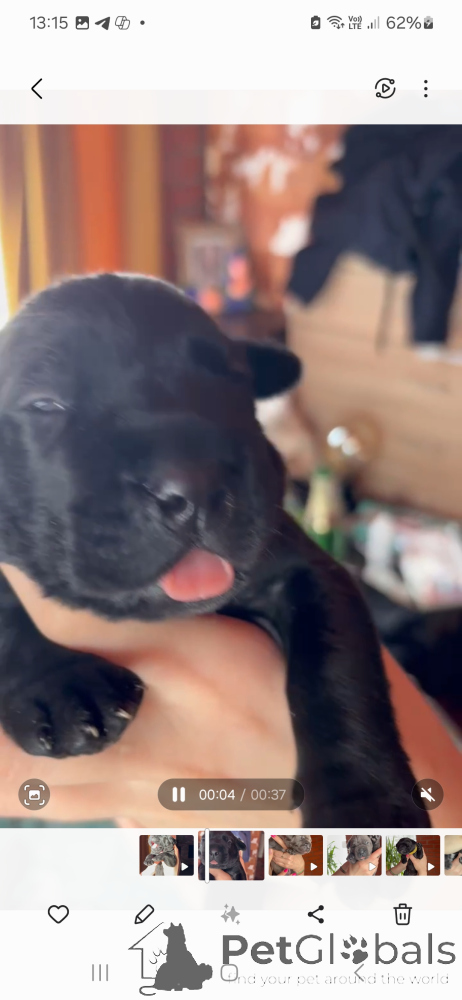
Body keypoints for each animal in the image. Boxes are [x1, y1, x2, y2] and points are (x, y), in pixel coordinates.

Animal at [0, 273, 430, 826]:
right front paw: (61, 683)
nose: (194, 481)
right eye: (44, 404)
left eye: (232, 380)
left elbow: (336, 671)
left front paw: (365, 806)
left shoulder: (307, 573)